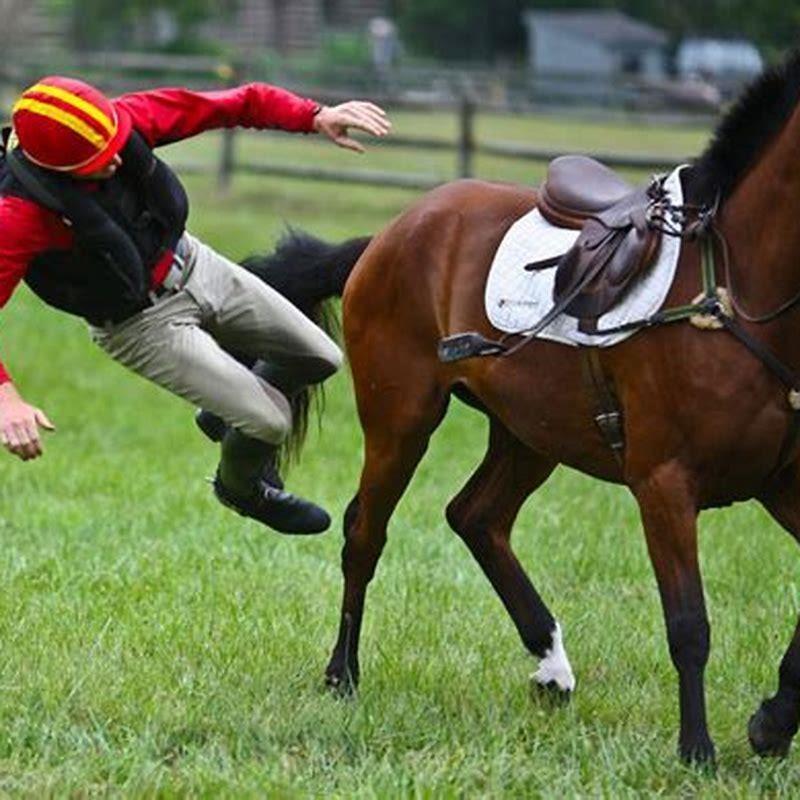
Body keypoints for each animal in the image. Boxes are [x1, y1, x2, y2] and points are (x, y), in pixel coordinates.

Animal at [247, 52, 800, 765]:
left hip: (529, 433)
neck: (732, 286)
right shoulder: (664, 483)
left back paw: (551, 664)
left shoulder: (783, 482)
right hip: (402, 421)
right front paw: (697, 750)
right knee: (365, 531)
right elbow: (689, 623)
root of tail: (390, 233)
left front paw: (773, 721)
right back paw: (343, 674)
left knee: (476, 517)